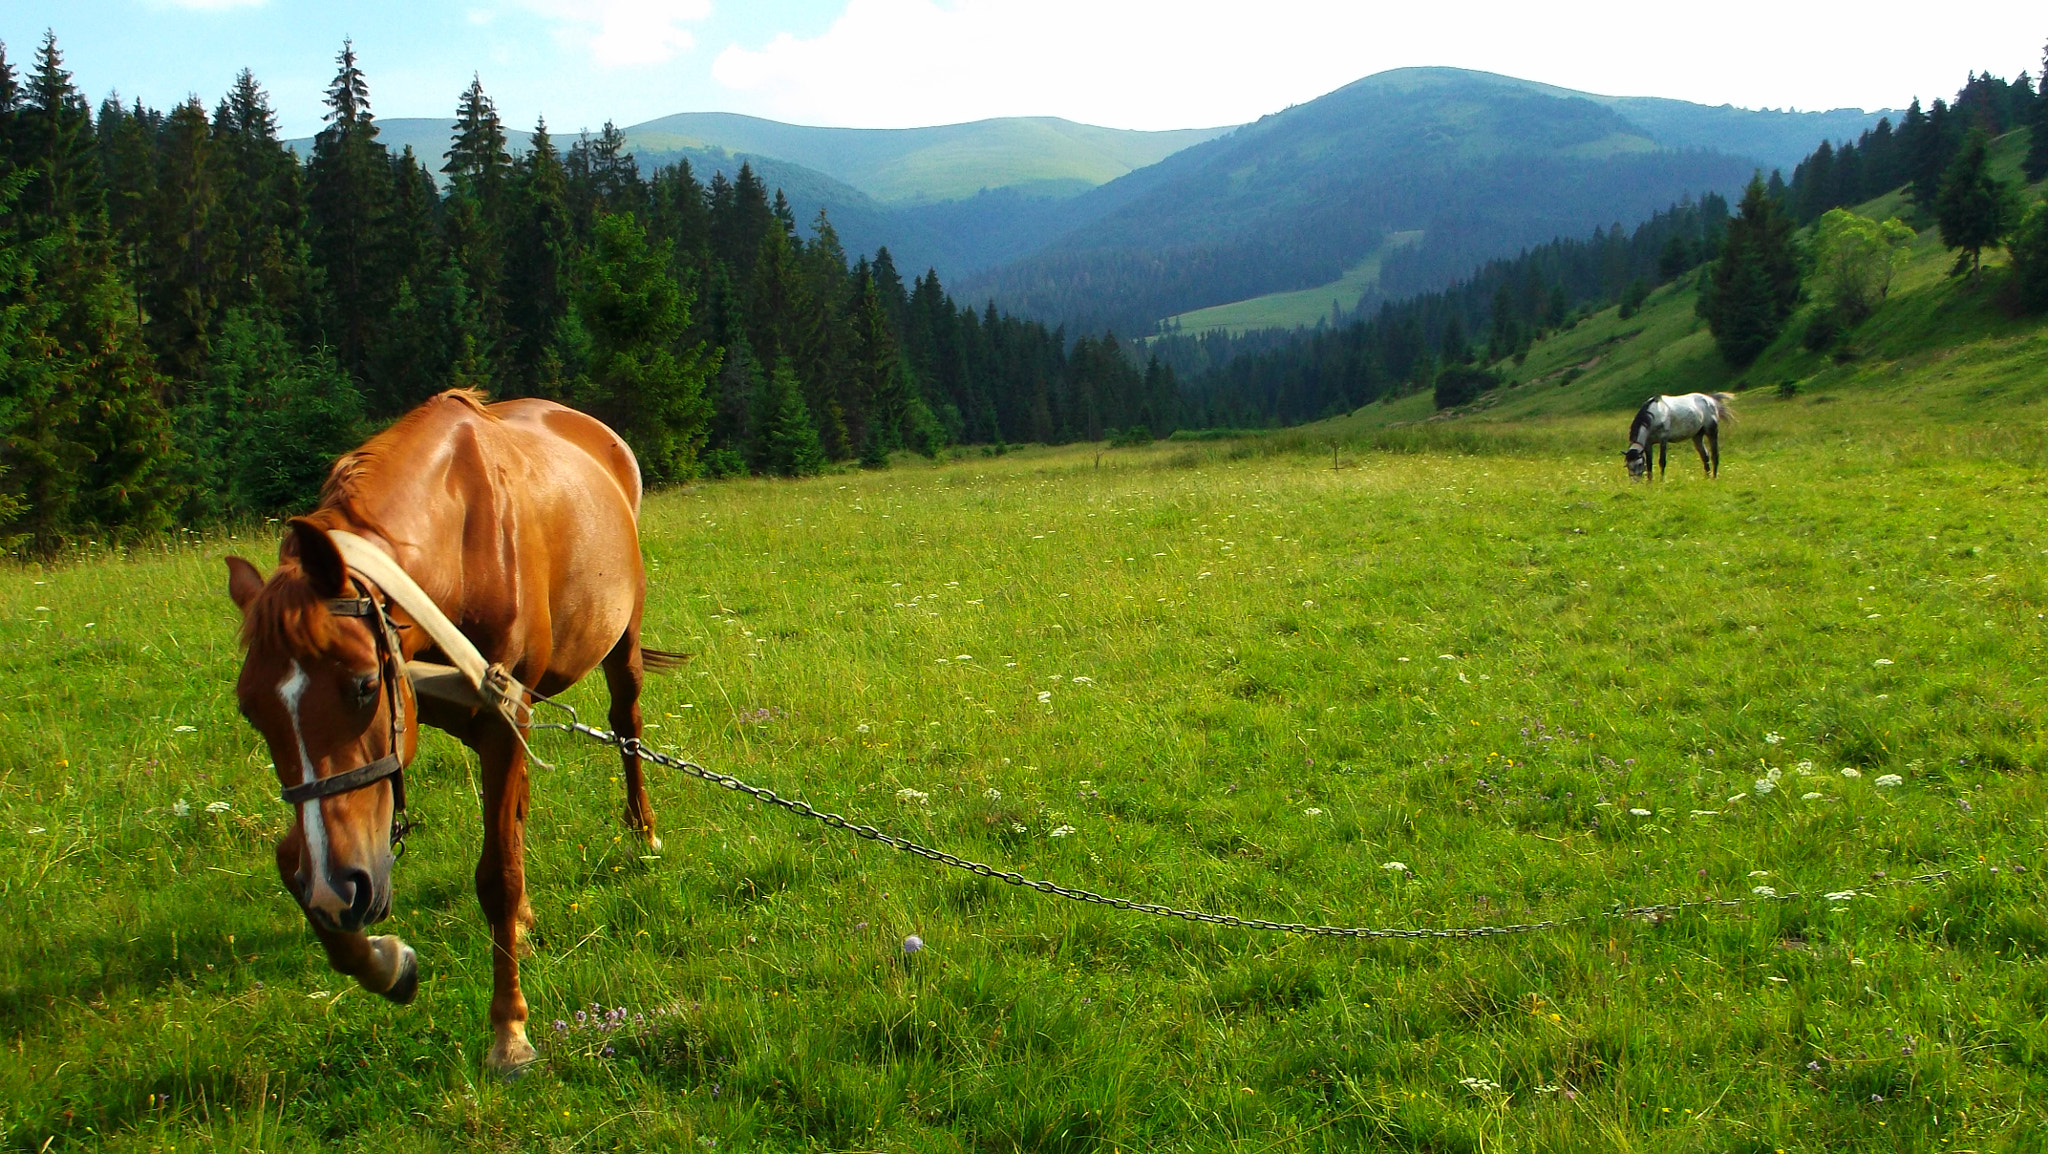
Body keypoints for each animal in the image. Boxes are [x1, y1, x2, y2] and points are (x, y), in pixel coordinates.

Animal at [225, 387, 675, 1074]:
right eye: (252, 710)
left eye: (364, 685)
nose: (338, 887)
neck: (460, 546)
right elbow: (291, 862)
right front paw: (386, 962)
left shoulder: (499, 717)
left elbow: (497, 875)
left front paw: (509, 1032)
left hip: (621, 640)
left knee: (625, 728)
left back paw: (643, 831)